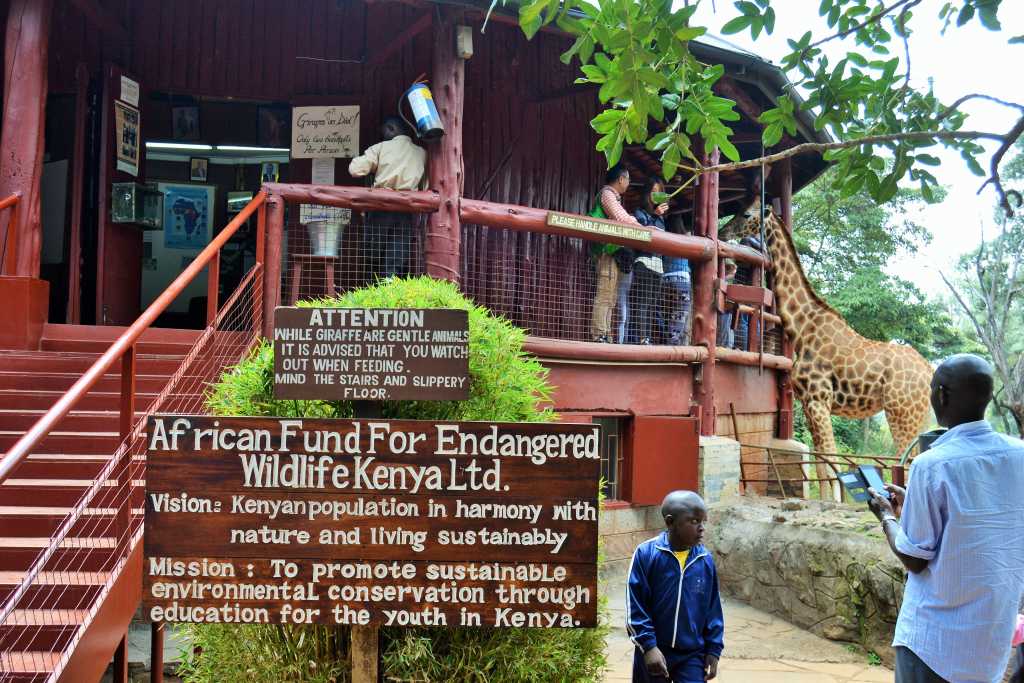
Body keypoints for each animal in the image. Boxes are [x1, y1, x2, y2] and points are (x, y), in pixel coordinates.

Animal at [724, 194, 933, 499]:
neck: (801, 327)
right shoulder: (810, 404)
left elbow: (833, 464)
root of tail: (930, 371)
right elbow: (821, 465)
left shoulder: (818, 400)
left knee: (906, 463)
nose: (723, 231)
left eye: (746, 213)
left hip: (901, 412)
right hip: (919, 416)